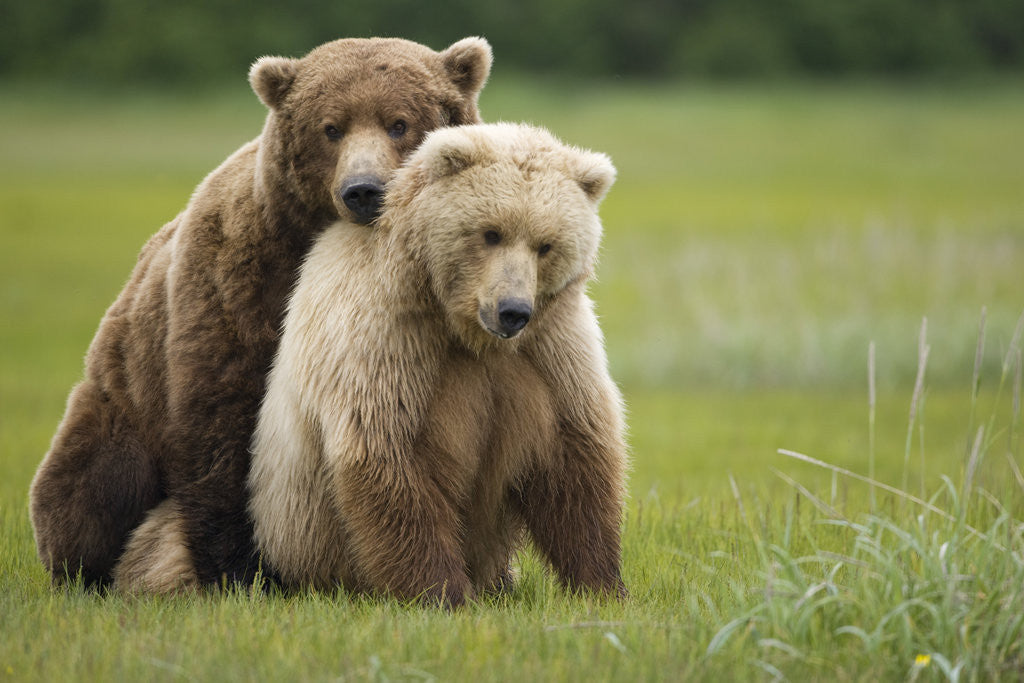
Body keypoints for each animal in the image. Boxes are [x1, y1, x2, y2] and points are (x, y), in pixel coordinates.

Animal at [28, 36, 493, 590]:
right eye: (331, 127)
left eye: (399, 122)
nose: (363, 189)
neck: (308, 240)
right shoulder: (234, 285)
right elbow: (222, 421)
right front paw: (239, 571)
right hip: (122, 400)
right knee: (90, 490)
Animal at [245, 122, 628, 606]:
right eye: (490, 232)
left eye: (545, 245)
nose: (512, 311)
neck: (466, 332)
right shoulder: (390, 338)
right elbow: (388, 451)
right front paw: (444, 592)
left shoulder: (552, 349)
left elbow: (575, 455)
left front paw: (603, 585)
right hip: (301, 535)